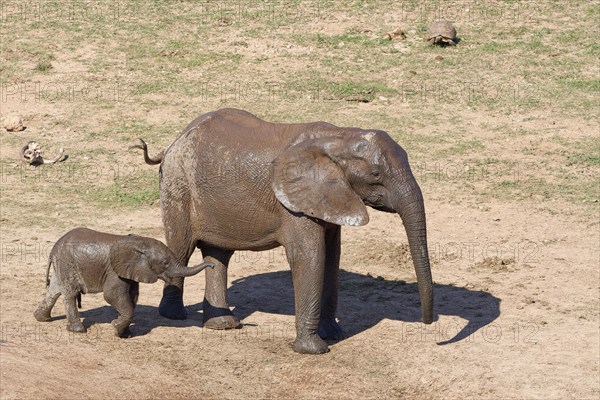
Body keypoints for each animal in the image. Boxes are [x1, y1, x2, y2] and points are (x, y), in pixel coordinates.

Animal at [33, 228, 213, 338]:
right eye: (165, 263)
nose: (211, 265)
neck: (139, 243)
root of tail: (54, 248)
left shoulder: (132, 272)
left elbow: (132, 297)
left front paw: (125, 332)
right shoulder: (114, 271)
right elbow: (112, 296)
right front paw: (116, 328)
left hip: (63, 264)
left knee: (55, 290)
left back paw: (41, 318)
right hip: (67, 262)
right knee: (69, 293)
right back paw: (78, 330)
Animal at [132, 108, 432, 354]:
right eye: (375, 175)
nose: (428, 323)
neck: (340, 137)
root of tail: (174, 142)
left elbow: (331, 258)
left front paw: (333, 334)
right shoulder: (293, 204)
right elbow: (310, 256)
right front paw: (314, 349)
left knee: (218, 256)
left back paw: (223, 324)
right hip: (177, 184)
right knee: (181, 247)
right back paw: (174, 315)